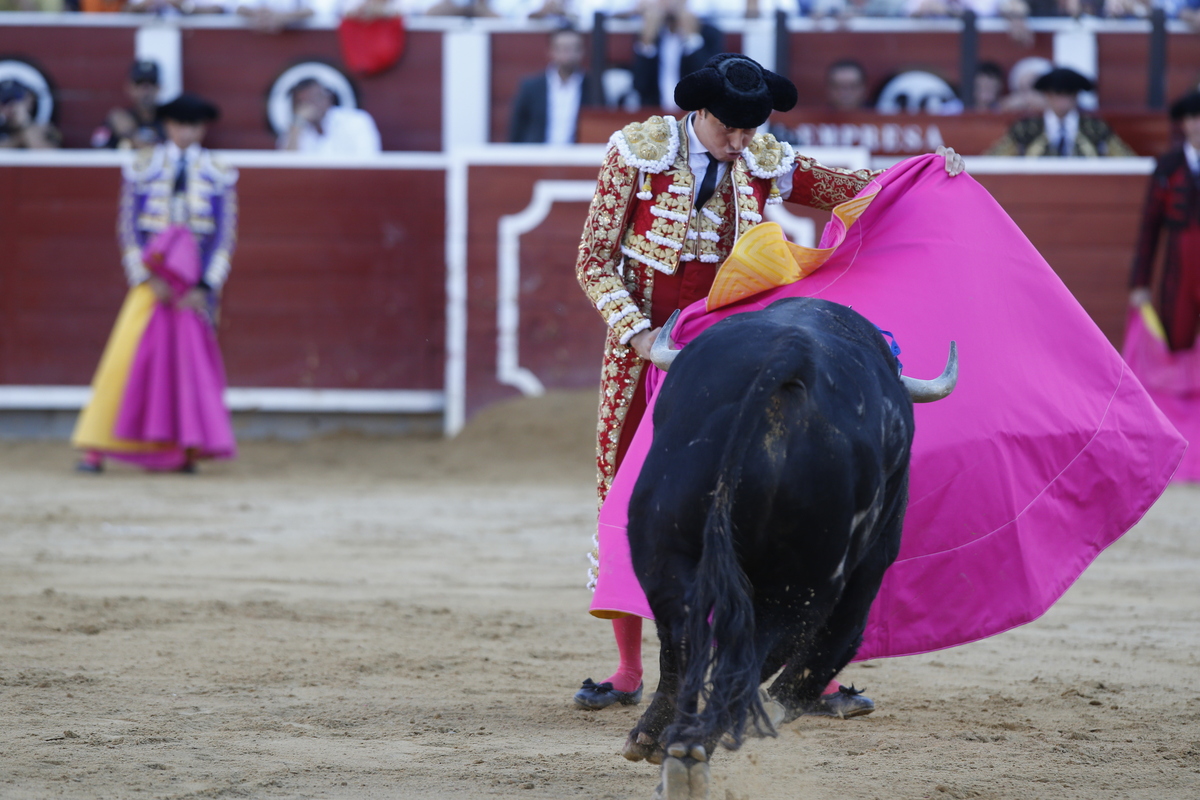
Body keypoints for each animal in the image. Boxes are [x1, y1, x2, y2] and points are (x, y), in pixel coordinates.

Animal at [619, 297, 955, 796]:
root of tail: (788, 356)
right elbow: (831, 643)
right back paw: (689, 755)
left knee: (680, 640)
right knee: (769, 653)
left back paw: (664, 747)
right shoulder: (871, 560)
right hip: (806, 583)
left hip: (662, 548)